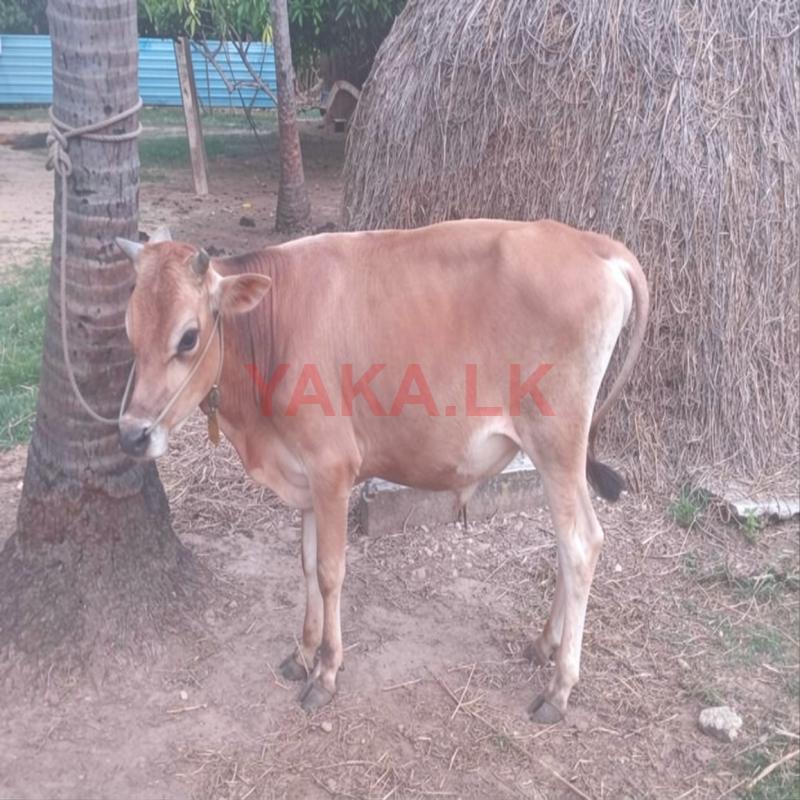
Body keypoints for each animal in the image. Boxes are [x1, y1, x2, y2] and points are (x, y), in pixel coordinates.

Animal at [115, 218, 649, 723]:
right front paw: (302, 652)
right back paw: (543, 645)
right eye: (129, 330)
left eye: (188, 337)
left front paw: (327, 672)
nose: (132, 434)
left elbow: (330, 571)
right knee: (565, 544)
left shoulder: (332, 466)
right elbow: (305, 563)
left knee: (581, 543)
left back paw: (559, 687)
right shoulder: (304, 475)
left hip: (557, 442)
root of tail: (594, 244)